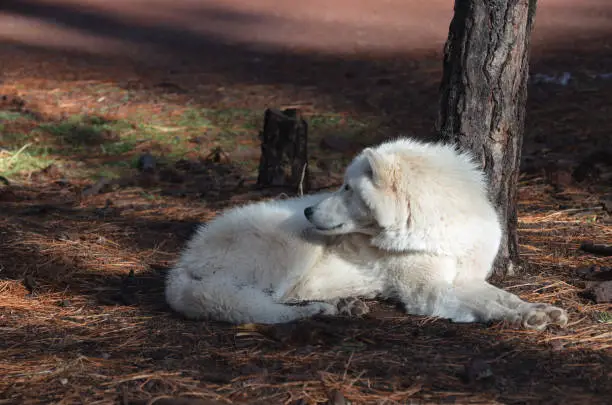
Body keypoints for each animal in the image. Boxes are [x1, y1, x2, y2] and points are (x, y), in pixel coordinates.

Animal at [164, 137, 568, 330]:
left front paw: (541, 310)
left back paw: (340, 307)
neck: (440, 228)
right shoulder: (430, 294)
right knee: (263, 305)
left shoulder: (466, 280)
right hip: (297, 247)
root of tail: (181, 263)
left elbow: (505, 297)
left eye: (346, 188)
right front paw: (526, 320)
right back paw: (325, 311)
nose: (309, 210)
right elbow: (488, 307)